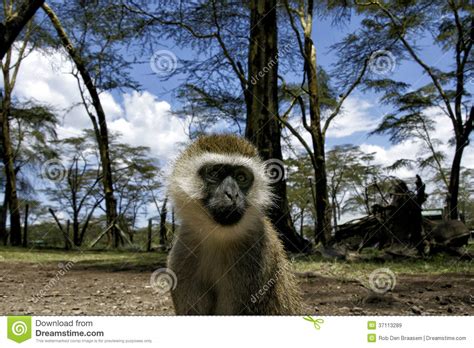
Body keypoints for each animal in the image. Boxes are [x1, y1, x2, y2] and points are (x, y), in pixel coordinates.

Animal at [167, 135, 300, 314]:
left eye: (241, 178)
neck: (217, 237)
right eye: (215, 173)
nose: (232, 194)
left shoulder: (256, 260)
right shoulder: (181, 258)